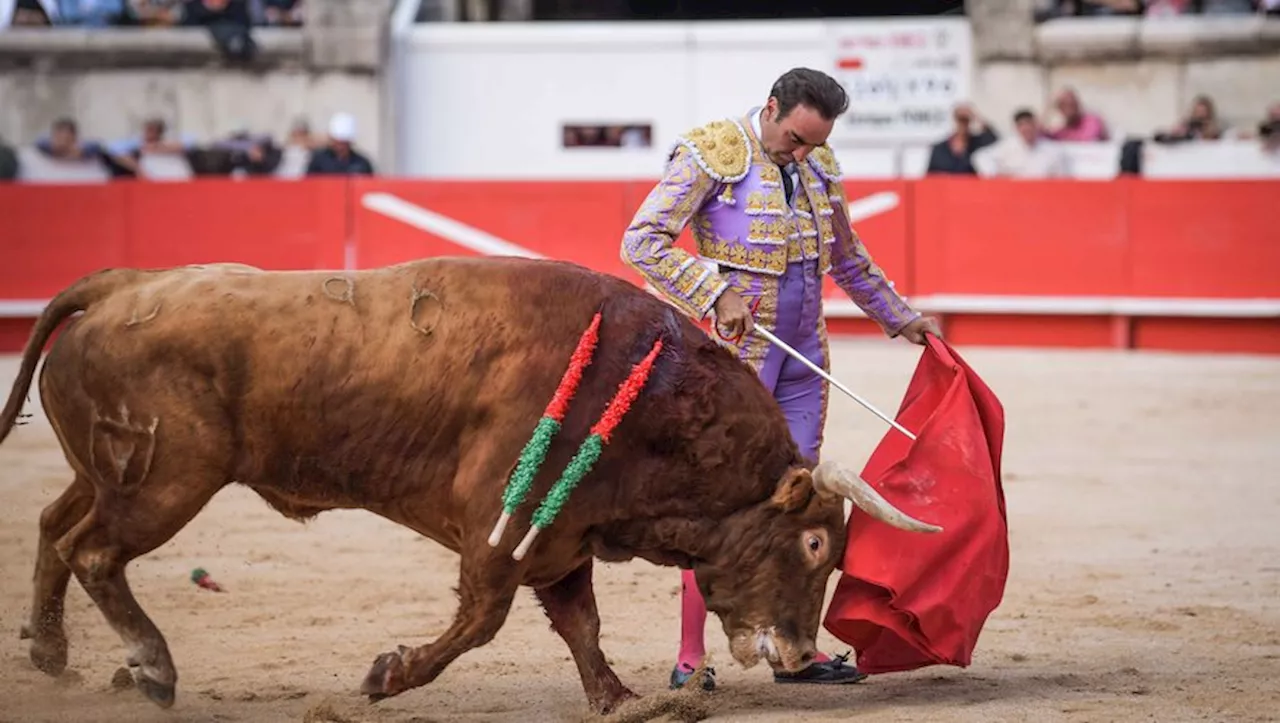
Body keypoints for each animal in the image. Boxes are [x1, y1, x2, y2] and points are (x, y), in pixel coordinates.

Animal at [0, 255, 942, 711]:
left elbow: (581, 622)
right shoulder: (504, 525)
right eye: (814, 542)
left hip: (113, 473)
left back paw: (52, 655)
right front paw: (387, 674)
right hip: (166, 482)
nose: (802, 652)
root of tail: (122, 285)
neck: (653, 395)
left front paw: (618, 699)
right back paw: (152, 667)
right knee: (94, 552)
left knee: (52, 525)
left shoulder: (562, 536)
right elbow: (484, 617)